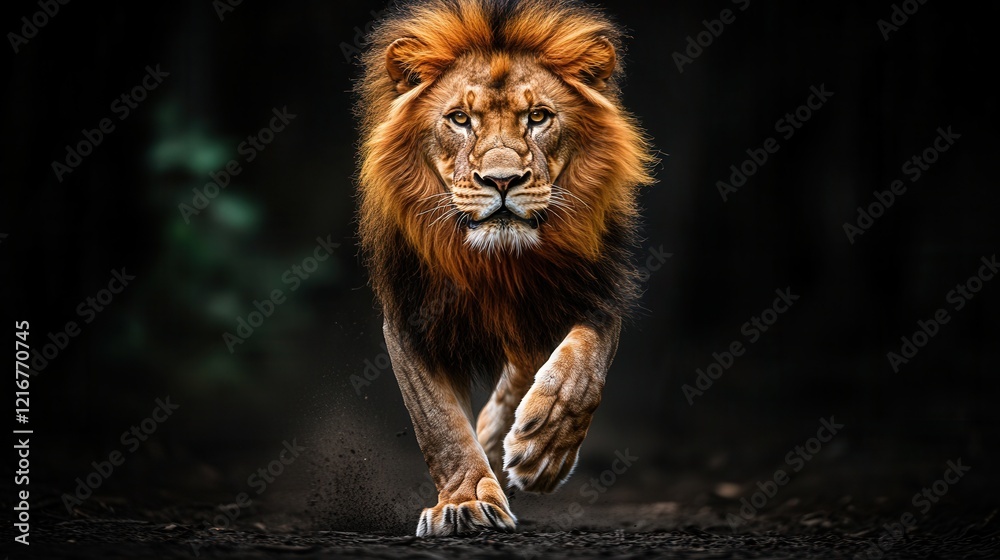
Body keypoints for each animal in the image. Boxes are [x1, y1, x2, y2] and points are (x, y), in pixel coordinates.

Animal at [356, 0, 655, 536]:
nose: (501, 180)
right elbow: (440, 425)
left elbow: (583, 370)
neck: (496, 265)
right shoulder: (411, 319)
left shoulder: (595, 292)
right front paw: (468, 500)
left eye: (537, 117)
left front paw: (544, 449)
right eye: (459, 119)